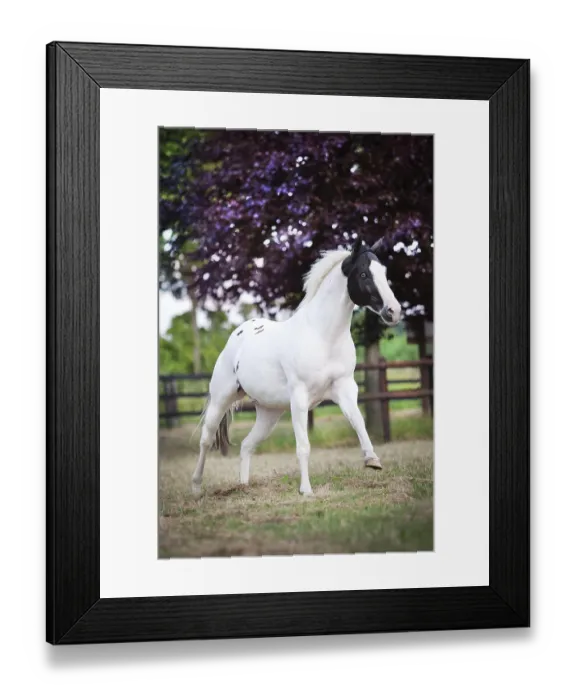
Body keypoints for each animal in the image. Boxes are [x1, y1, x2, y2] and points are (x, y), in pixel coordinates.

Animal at [192, 238, 403, 497]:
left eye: (384, 272)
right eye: (364, 274)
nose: (394, 311)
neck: (322, 335)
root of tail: (237, 335)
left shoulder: (345, 388)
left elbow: (358, 422)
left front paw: (372, 460)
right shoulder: (300, 398)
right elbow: (303, 446)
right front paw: (306, 491)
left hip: (268, 413)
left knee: (247, 445)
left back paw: (243, 486)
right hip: (222, 399)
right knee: (206, 439)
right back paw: (197, 488)